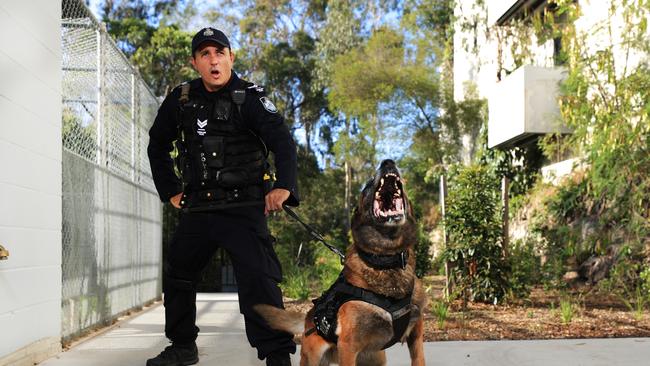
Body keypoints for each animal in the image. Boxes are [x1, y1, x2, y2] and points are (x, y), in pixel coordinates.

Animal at [256, 159, 428, 364]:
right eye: (368, 184)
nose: (388, 162)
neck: (387, 261)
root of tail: (308, 317)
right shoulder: (348, 346)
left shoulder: (416, 335)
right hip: (313, 358)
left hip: (375, 359)